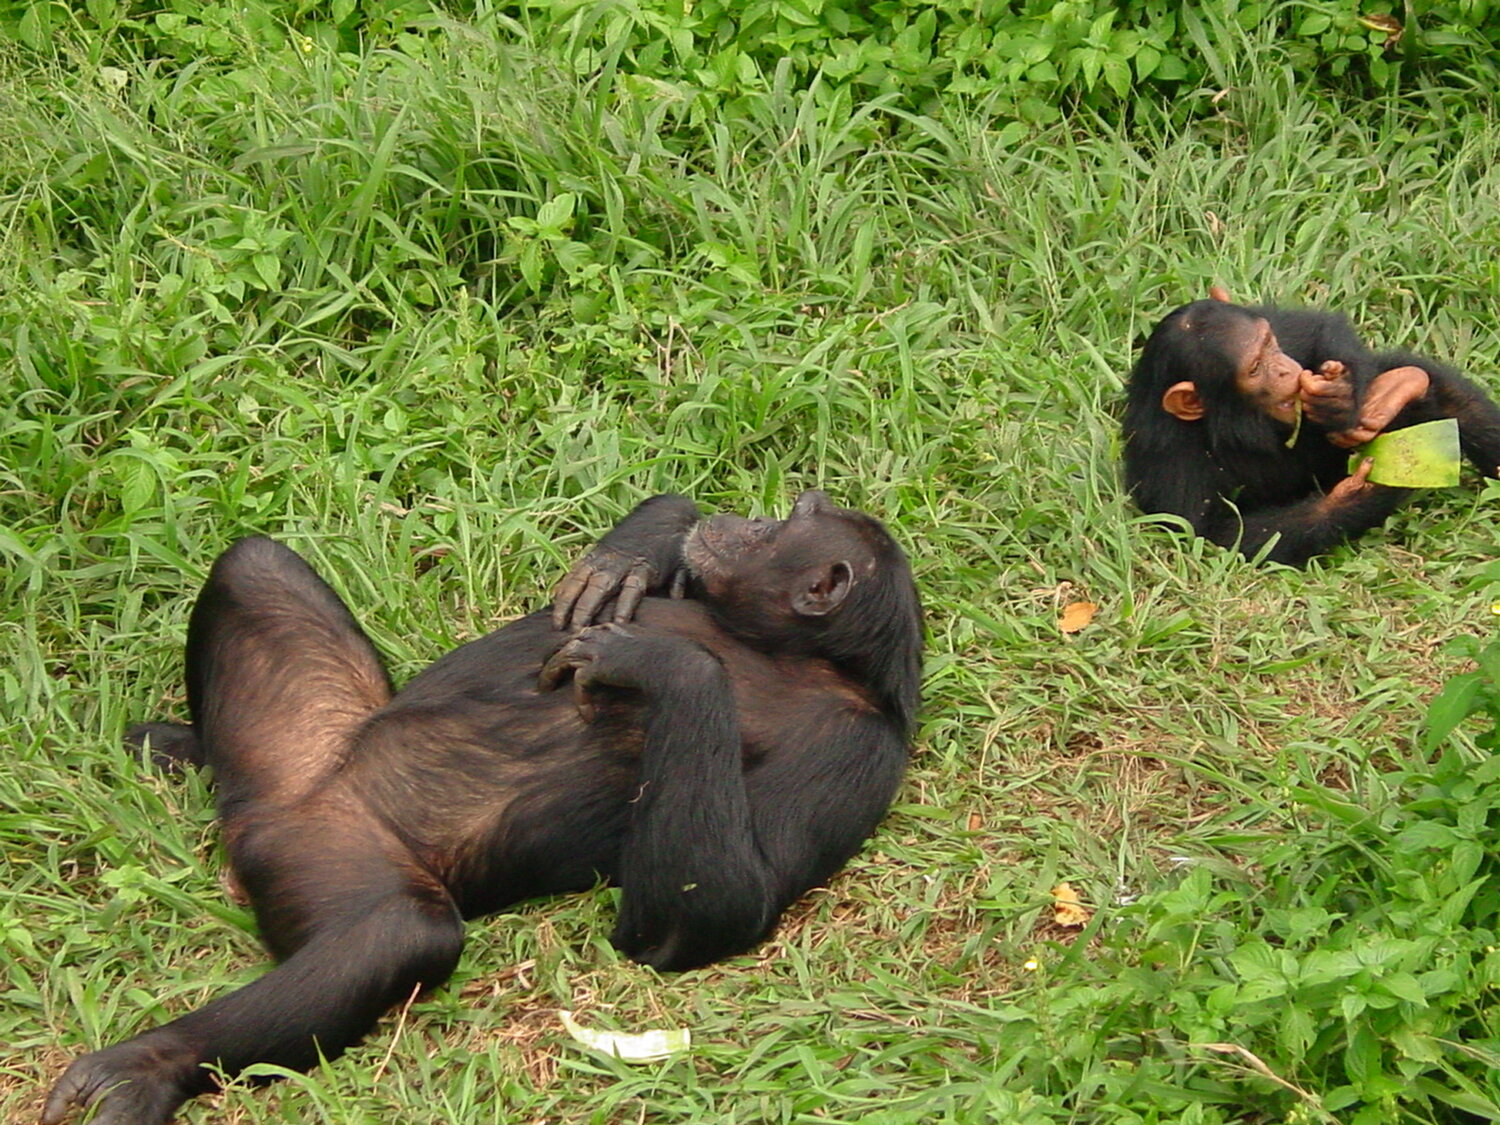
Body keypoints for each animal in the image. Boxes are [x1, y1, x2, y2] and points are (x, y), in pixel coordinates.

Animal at [41, 492, 918, 1125]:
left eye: (778, 526)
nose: (744, 517)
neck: (791, 651)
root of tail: (257, 819)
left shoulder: (857, 753)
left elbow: (715, 913)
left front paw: (661, 656)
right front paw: (645, 540)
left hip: (325, 855)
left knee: (398, 934)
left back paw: (145, 1069)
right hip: (301, 743)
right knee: (255, 564)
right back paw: (182, 746)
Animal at [1122, 288, 1500, 564]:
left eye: (1270, 344)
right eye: (1255, 367)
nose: (1285, 370)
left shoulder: (1280, 327)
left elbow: (1318, 326)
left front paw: (1342, 396)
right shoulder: (1169, 466)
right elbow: (1218, 537)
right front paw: (1356, 494)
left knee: (1447, 394)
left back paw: (1404, 385)